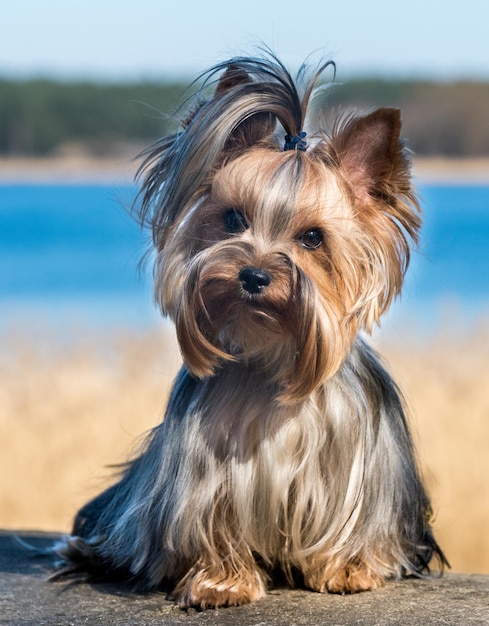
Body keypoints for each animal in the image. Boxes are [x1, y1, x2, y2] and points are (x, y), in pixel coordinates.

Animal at [53, 51, 446, 608]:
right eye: (233, 218)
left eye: (313, 237)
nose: (254, 276)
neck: (270, 353)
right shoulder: (205, 471)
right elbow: (210, 521)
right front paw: (221, 581)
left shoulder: (358, 463)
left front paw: (350, 569)